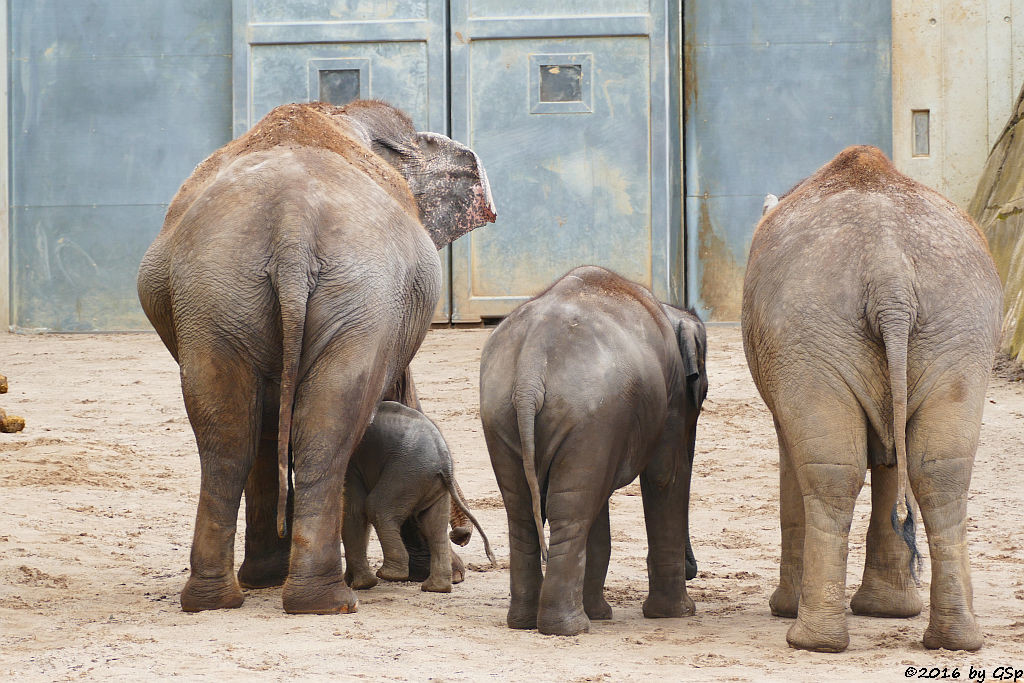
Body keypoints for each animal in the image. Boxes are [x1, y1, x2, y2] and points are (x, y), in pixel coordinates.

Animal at [344, 401, 495, 593]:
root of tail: (445, 463)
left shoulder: (352, 463)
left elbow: (353, 511)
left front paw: (358, 584)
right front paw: (352, 583)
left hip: (406, 472)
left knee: (375, 506)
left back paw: (389, 574)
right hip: (430, 481)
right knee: (434, 527)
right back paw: (436, 587)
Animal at [477, 266, 704, 634]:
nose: (692, 569)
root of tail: (529, 371)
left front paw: (602, 613)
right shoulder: (669, 399)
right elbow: (665, 476)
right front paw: (677, 613)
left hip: (504, 414)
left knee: (527, 511)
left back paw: (527, 621)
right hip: (586, 413)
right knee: (571, 512)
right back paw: (570, 627)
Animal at [741, 145, 1003, 651]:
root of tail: (890, 274)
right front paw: (887, 612)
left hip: (812, 333)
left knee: (830, 471)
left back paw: (808, 639)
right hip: (958, 331)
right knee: (940, 470)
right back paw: (953, 640)